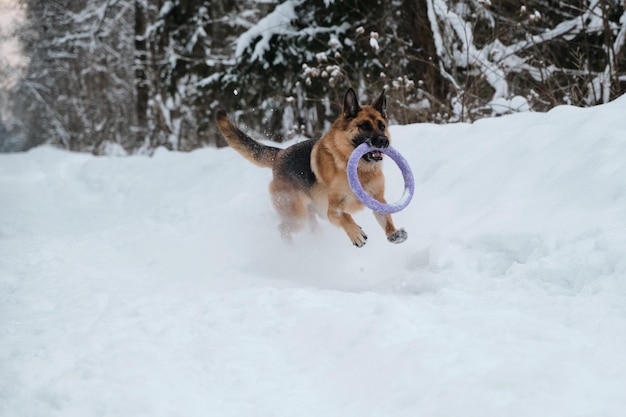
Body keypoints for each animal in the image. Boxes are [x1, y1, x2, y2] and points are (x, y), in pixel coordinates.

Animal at [214, 86, 408, 245]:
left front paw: (393, 233)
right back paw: (291, 249)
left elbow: (386, 218)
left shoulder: (378, 200)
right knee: (282, 228)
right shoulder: (332, 209)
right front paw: (355, 233)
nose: (383, 141)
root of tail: (279, 155)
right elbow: (344, 216)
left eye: (382, 126)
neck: (356, 167)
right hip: (298, 217)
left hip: (309, 215)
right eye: (364, 126)